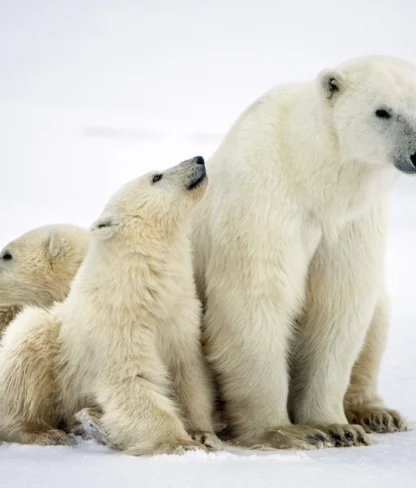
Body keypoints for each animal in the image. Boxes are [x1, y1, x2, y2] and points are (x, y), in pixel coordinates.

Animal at [193, 55, 414, 448]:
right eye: (382, 111)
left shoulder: (353, 221)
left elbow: (338, 305)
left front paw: (337, 427)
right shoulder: (265, 200)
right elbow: (255, 300)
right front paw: (286, 431)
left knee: (378, 315)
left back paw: (377, 413)